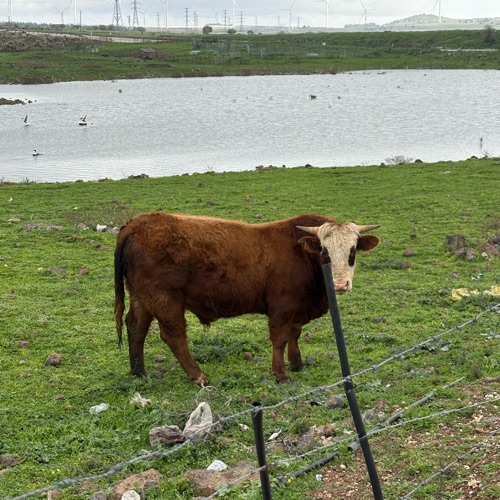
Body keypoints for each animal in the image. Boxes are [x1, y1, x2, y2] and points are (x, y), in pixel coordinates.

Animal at [114, 213, 379, 385]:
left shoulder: (297, 308)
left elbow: (294, 334)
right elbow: (280, 339)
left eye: (353, 251)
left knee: (136, 327)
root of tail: (135, 224)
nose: (340, 284)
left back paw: (139, 373)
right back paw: (198, 376)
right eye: (324, 250)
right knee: (174, 337)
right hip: (165, 300)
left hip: (141, 297)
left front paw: (297, 363)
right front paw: (281, 374)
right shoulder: (281, 308)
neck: (301, 253)